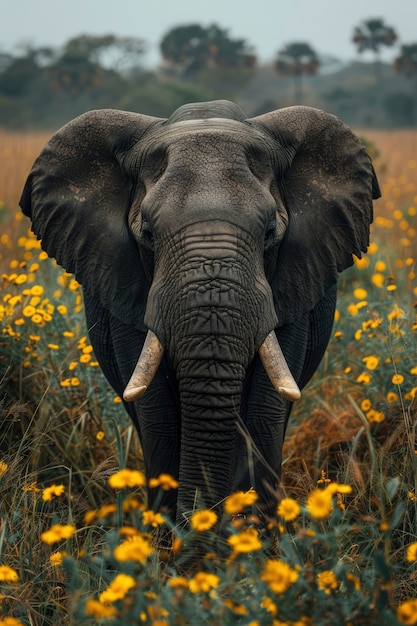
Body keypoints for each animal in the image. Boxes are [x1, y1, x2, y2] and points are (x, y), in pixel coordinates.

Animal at [19, 101, 380, 528]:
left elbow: (264, 407)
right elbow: (156, 409)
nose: (198, 523)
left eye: (270, 233)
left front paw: (255, 536)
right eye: (148, 235)